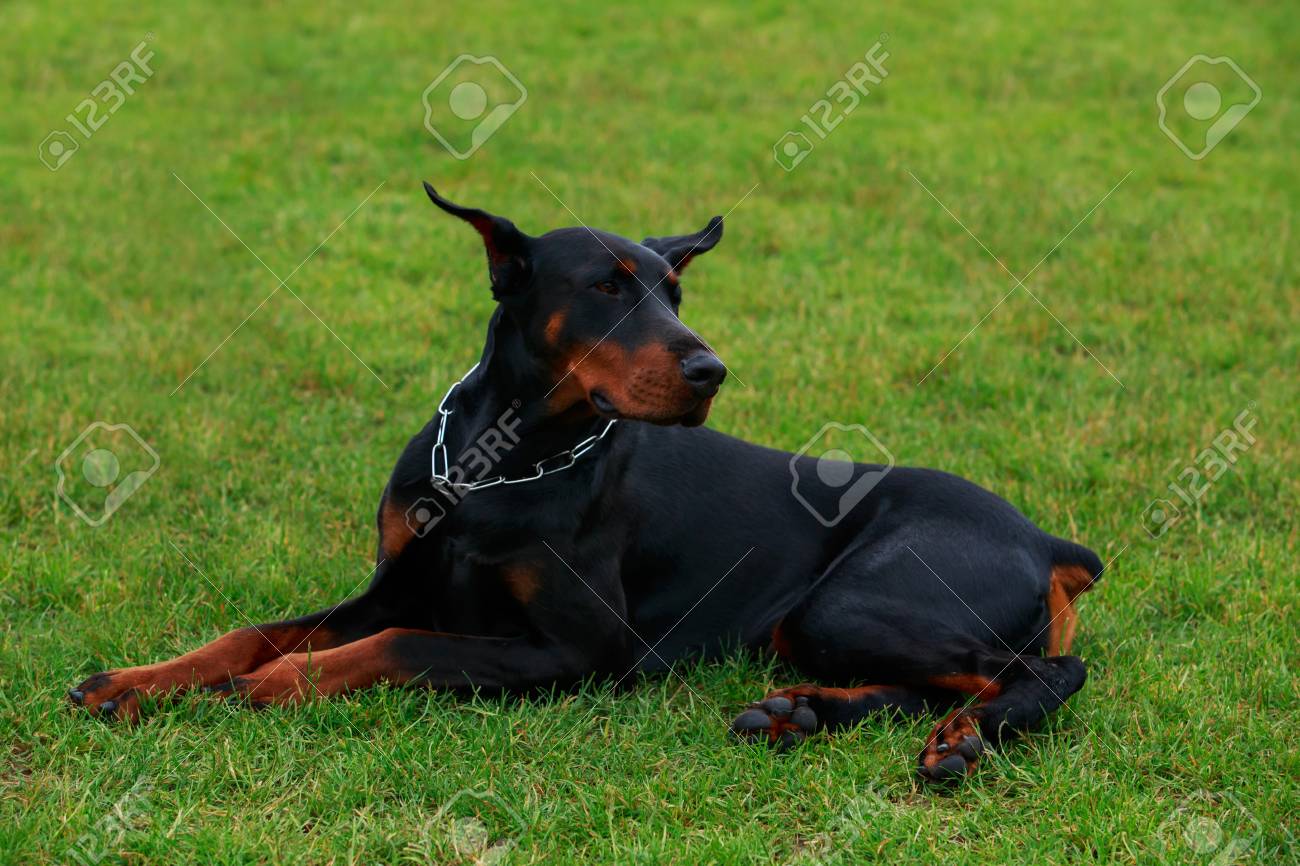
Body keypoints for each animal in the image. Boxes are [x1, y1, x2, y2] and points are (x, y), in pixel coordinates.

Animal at [71, 183, 1102, 780]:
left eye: (673, 293)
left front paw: (262, 687)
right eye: (606, 288)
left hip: (847, 602)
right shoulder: (396, 581)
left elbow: (391, 646)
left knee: (1048, 669)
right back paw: (797, 712)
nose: (711, 371)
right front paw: (135, 683)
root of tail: (1045, 538)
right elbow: (254, 631)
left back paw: (963, 740)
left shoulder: (578, 651)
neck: (499, 467)